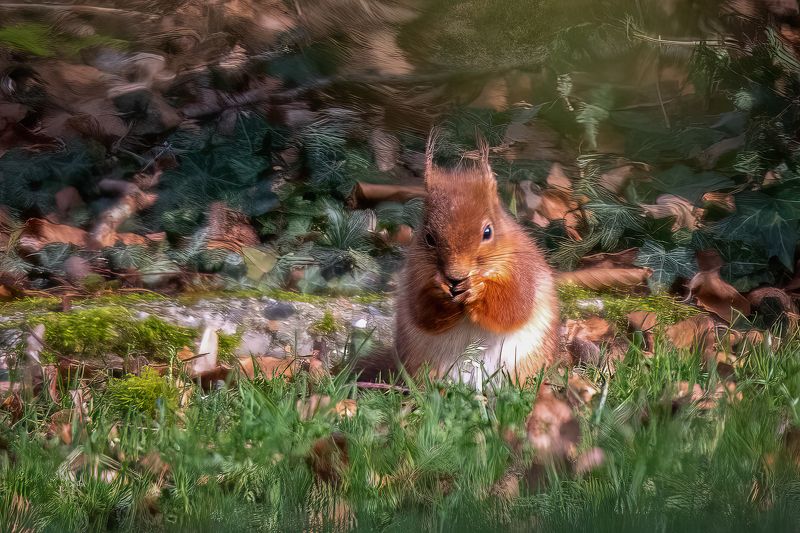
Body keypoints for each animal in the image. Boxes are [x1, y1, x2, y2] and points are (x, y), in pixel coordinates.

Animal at [356, 134, 561, 387]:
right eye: (429, 237)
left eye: (488, 232)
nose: (455, 276)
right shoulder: (415, 274)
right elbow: (421, 312)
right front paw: (439, 290)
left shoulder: (523, 270)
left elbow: (514, 305)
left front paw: (478, 290)